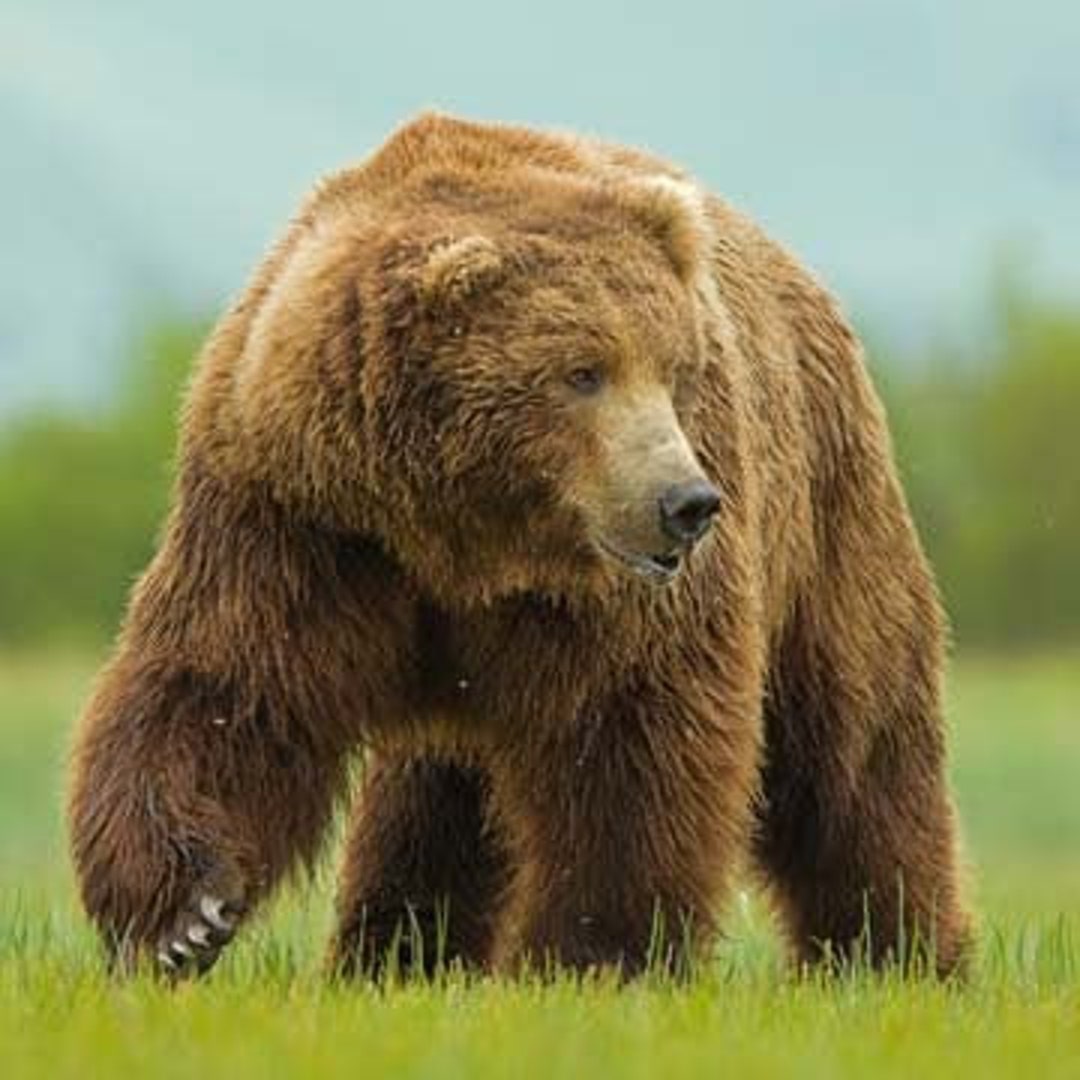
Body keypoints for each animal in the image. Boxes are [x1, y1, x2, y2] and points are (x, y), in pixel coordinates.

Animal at [67, 112, 972, 981]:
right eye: (583, 372)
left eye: (676, 370)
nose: (687, 503)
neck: (461, 535)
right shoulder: (300, 519)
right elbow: (231, 685)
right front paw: (183, 918)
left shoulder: (606, 595)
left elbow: (630, 737)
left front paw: (596, 955)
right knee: (436, 797)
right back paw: (399, 954)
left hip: (827, 513)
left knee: (855, 750)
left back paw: (900, 953)